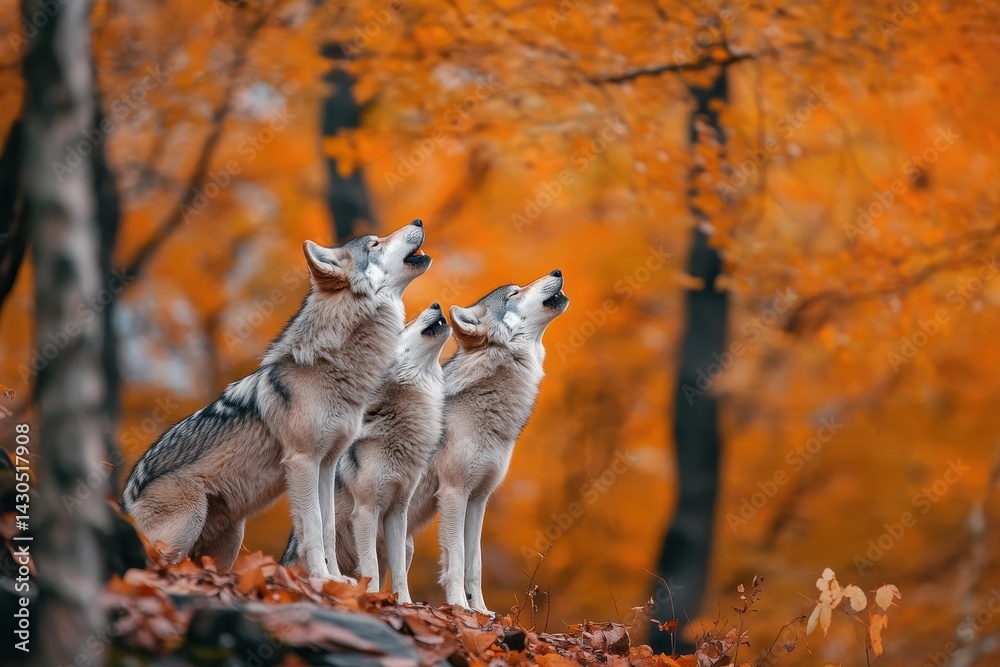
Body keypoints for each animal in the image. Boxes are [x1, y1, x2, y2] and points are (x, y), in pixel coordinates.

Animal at [121, 219, 431, 580]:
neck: (330, 366)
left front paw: (338, 581)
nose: (418, 221)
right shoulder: (302, 461)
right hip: (188, 524)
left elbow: (327, 526)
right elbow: (312, 526)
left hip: (230, 538)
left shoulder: (326, 464)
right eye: (375, 244)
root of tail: (124, 502)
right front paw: (321, 579)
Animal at [281, 303, 450, 603]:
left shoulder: (397, 513)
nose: (436, 304)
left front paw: (403, 603)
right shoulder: (365, 511)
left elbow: (399, 573)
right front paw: (371, 597)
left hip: (408, 541)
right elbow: (369, 565)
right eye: (403, 328)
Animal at [407, 269, 569, 611]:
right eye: (513, 294)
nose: (558, 271)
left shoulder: (479, 498)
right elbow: (456, 560)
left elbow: (475, 563)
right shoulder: (454, 493)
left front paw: (480, 611)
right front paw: (459, 607)